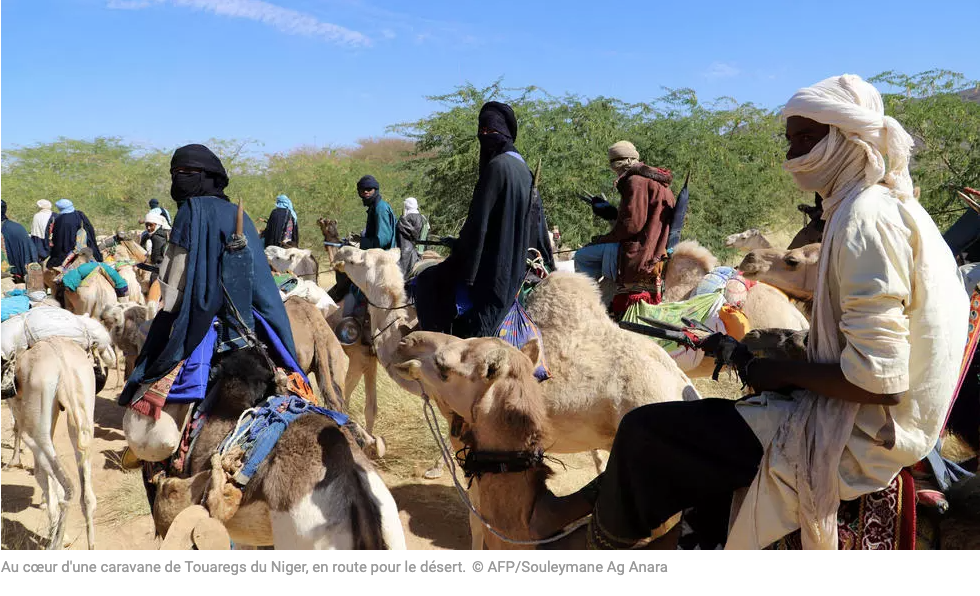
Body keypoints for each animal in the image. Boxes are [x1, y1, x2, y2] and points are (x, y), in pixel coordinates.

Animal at [8, 340, 97, 548]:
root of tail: (62, 362)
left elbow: (42, 476)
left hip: (34, 429)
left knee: (68, 486)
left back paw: (54, 544)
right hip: (83, 414)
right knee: (87, 495)